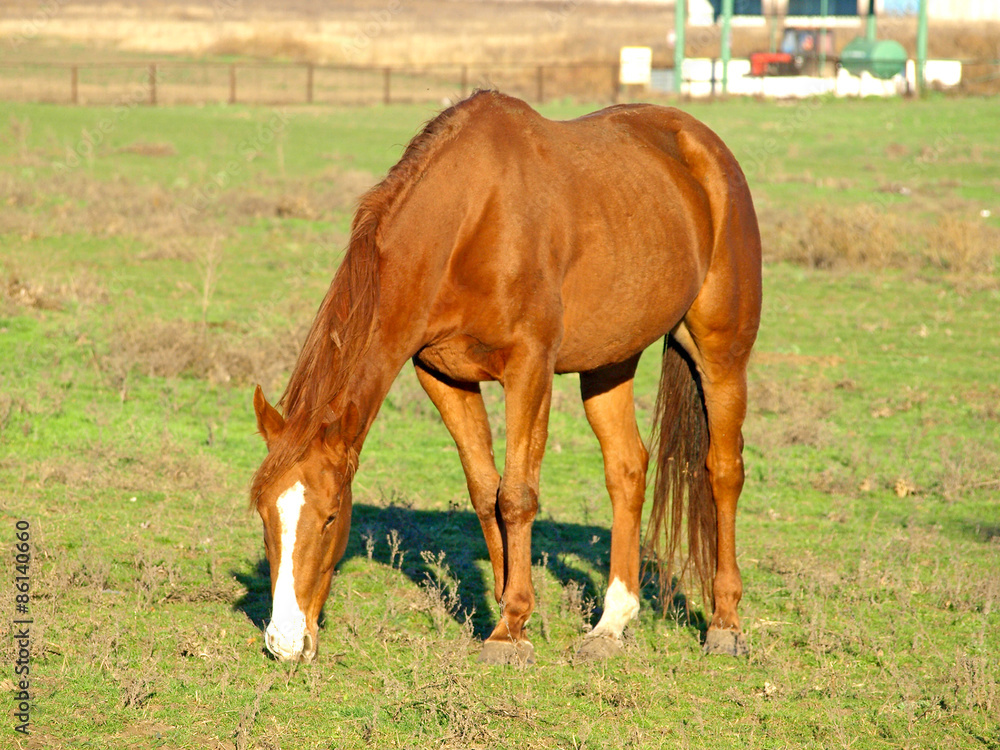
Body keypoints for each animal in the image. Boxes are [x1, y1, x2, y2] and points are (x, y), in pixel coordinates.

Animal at [250, 90, 761, 665]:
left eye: (332, 517)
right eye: (264, 516)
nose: (285, 640)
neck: (469, 222)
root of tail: (704, 148)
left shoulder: (529, 368)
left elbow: (515, 494)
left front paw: (510, 627)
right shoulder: (440, 375)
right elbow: (483, 491)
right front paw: (505, 607)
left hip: (721, 351)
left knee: (723, 471)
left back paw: (724, 623)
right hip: (609, 362)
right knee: (627, 469)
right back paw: (611, 624)